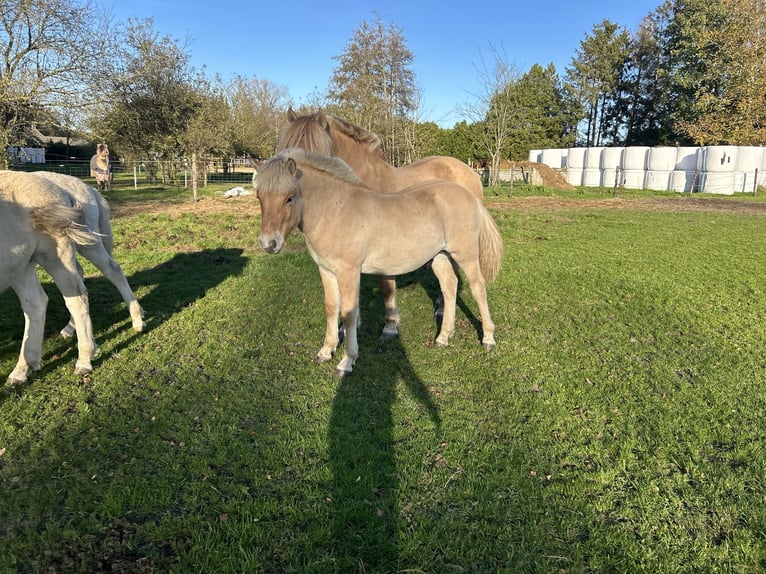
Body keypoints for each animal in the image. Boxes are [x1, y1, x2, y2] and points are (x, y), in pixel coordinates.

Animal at [0, 171, 100, 388]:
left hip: (54, 256)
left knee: (76, 298)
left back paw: (84, 360)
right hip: (20, 265)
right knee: (35, 304)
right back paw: (22, 370)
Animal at [256, 150, 504, 378]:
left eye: (289, 197)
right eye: (259, 197)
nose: (269, 244)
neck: (336, 210)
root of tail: (471, 197)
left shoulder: (348, 271)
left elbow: (349, 313)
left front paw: (347, 361)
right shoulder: (326, 271)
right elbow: (331, 308)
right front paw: (326, 351)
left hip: (466, 255)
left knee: (478, 288)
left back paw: (488, 338)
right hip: (440, 256)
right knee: (450, 287)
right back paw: (443, 337)